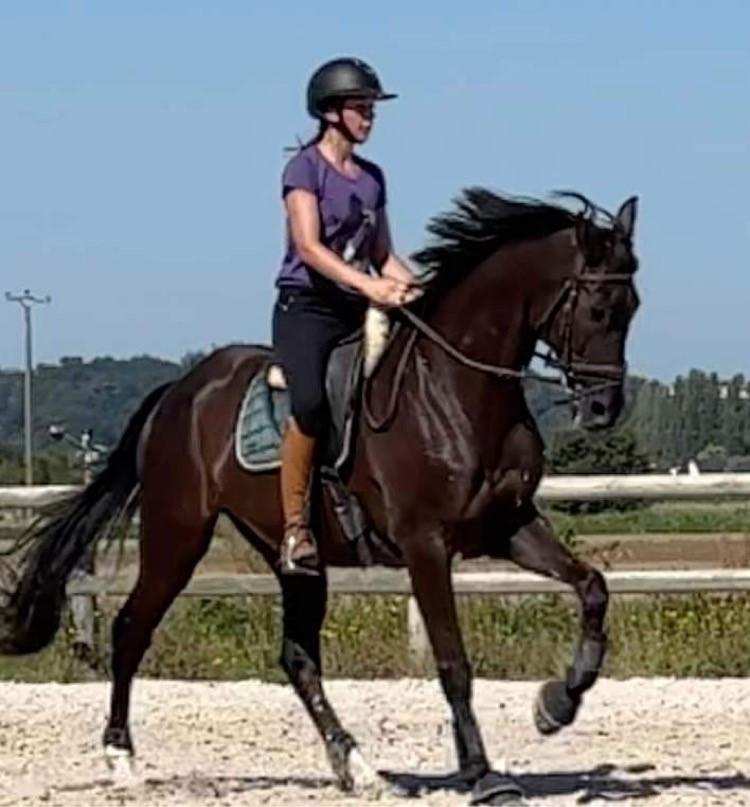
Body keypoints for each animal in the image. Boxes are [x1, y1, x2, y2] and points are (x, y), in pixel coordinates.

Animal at [2, 189, 644, 800]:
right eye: (598, 308)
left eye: (632, 307)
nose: (604, 410)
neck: (457, 391)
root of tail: (179, 392)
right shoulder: (426, 544)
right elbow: (453, 661)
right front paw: (485, 776)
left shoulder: (506, 527)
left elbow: (592, 586)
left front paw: (556, 704)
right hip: (176, 534)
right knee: (131, 627)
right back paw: (122, 760)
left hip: (290, 557)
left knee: (297, 655)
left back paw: (359, 768)